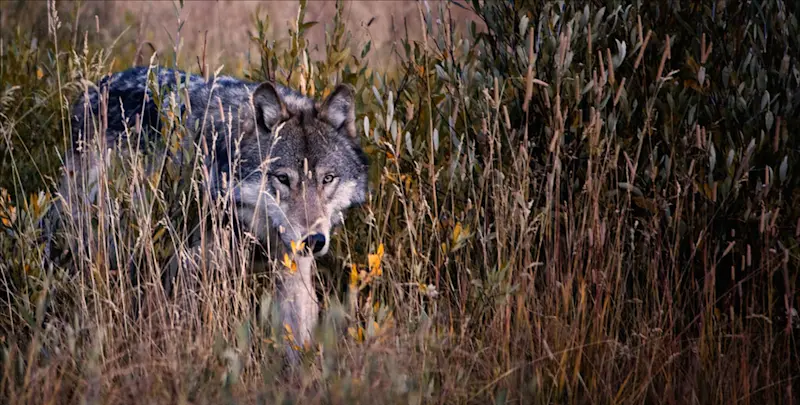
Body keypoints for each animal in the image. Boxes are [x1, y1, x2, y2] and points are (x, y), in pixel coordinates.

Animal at [47, 65, 369, 363]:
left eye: (328, 179)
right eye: (283, 178)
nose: (314, 241)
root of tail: (99, 85)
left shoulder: (293, 270)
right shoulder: (188, 265)